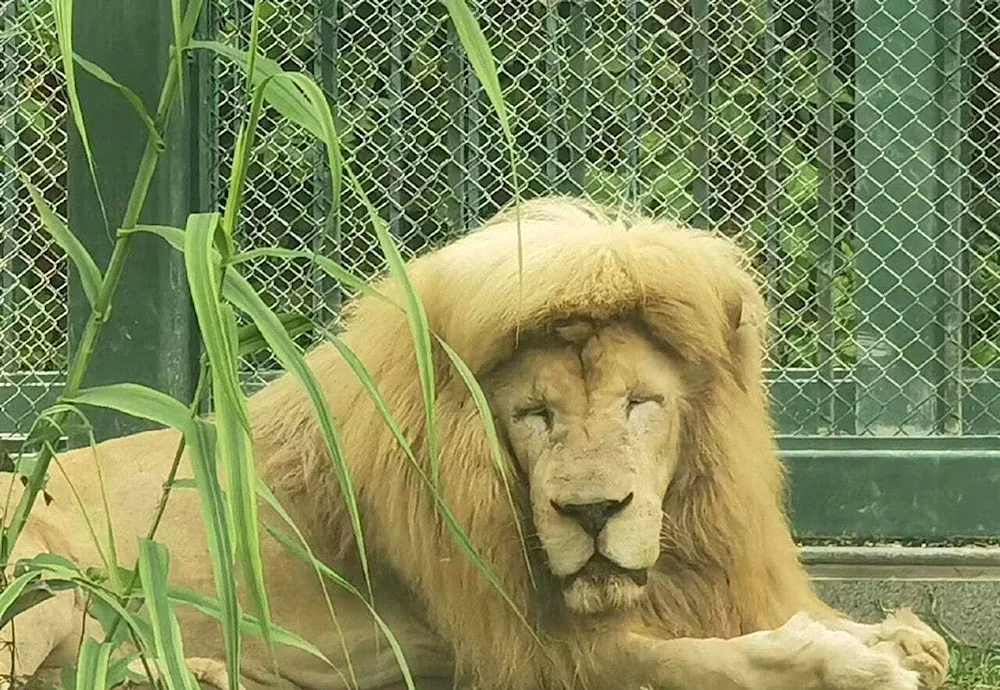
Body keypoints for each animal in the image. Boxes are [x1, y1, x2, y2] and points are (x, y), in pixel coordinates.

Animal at [0, 194, 948, 688]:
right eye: (533, 415)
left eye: (641, 404)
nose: (593, 512)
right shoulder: (521, 655)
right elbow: (697, 662)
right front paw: (856, 662)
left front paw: (896, 637)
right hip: (43, 578)